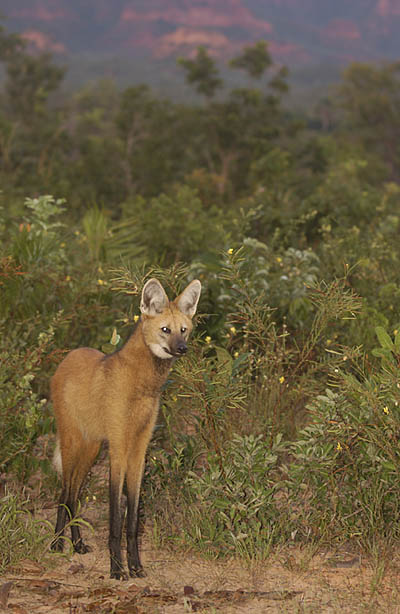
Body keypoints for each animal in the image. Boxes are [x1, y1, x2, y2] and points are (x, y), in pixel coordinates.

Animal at [50, 280, 200, 584]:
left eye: (183, 329)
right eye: (165, 329)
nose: (182, 348)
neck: (143, 386)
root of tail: (69, 354)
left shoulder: (139, 450)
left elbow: (132, 520)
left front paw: (136, 566)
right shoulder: (119, 447)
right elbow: (116, 520)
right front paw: (117, 569)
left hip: (92, 448)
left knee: (74, 496)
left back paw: (77, 544)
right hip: (73, 443)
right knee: (65, 493)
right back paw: (58, 544)